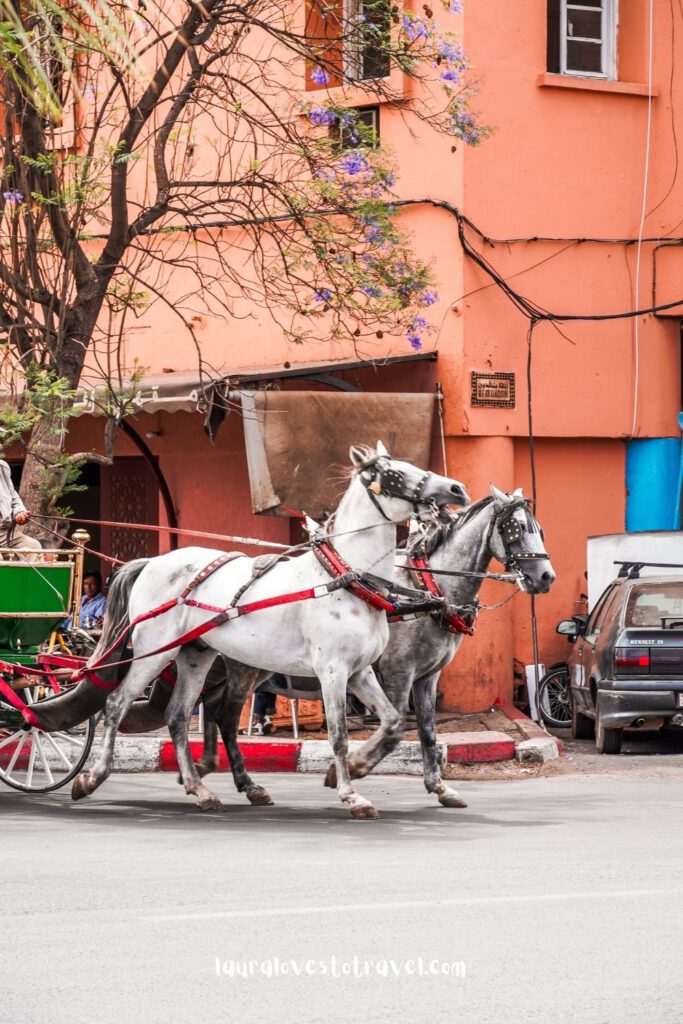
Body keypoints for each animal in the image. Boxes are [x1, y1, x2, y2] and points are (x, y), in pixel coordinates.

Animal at [74, 444, 471, 819]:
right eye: (394, 473)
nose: (457, 488)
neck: (345, 579)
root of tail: (151, 562)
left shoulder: (360, 672)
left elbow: (392, 723)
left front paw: (353, 770)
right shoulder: (334, 671)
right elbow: (339, 735)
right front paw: (351, 794)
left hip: (195, 653)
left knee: (179, 715)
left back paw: (201, 790)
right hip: (155, 650)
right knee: (118, 702)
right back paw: (91, 777)